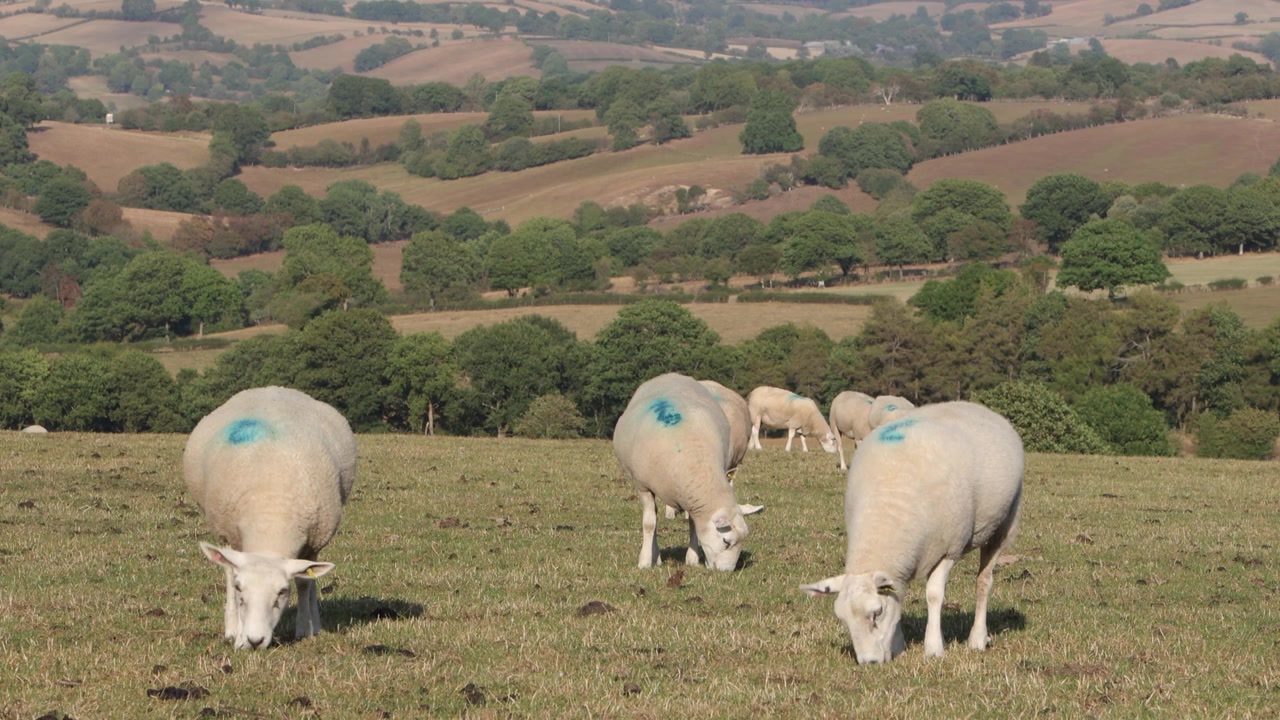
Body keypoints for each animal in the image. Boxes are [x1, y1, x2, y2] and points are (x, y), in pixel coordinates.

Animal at [185, 386, 357, 650]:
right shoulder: (229, 534)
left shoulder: (313, 541)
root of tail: (271, 389)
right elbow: (230, 576)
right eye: (241, 589)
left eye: (282, 592)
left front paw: (304, 629)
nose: (254, 641)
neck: (271, 516)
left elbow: (305, 583)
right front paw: (236, 634)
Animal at [613, 373, 756, 572]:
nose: (726, 572)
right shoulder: (643, 486)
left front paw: (692, 559)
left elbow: (693, 524)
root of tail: (670, 375)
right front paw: (644, 562)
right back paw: (656, 557)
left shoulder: (693, 500)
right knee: (653, 519)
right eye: (726, 541)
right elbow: (649, 524)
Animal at [800, 401, 1023, 663]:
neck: (886, 513)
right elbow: (899, 596)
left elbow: (934, 595)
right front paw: (899, 645)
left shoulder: (950, 547)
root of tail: (976, 406)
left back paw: (977, 638)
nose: (869, 663)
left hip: (1003, 525)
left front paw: (934, 648)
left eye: (877, 613)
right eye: (843, 620)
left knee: (984, 582)